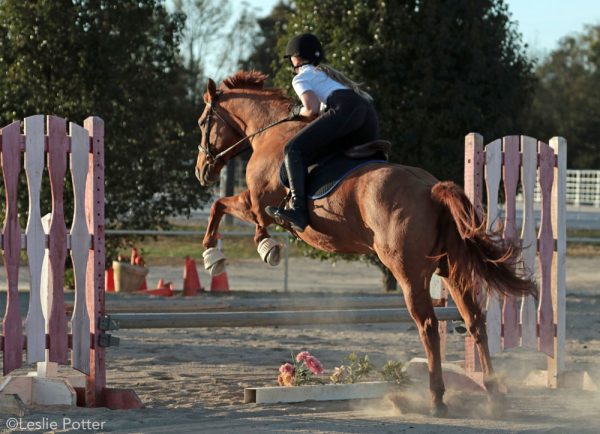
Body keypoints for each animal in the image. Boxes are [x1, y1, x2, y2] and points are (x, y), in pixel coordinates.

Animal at [195, 72, 532, 418]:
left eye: (203, 122)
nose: (201, 171)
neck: (269, 133)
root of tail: (432, 189)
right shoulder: (256, 205)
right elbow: (223, 208)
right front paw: (237, 251)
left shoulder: (258, 204)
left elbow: (223, 208)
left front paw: (222, 255)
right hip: (451, 270)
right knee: (475, 321)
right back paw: (494, 394)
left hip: (409, 273)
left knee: (428, 326)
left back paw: (436, 398)